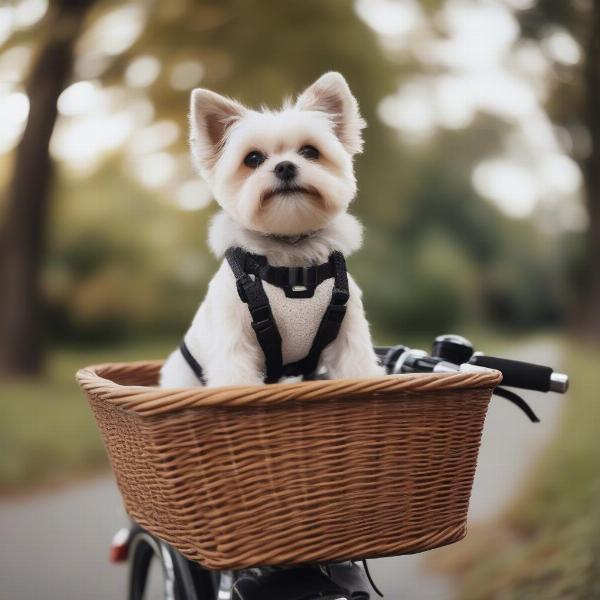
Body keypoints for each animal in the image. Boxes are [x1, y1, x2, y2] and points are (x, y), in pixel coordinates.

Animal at [161, 71, 384, 390]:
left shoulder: (349, 340)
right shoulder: (235, 345)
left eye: (310, 152)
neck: (290, 254)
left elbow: (358, 371)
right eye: (253, 159)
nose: (285, 166)